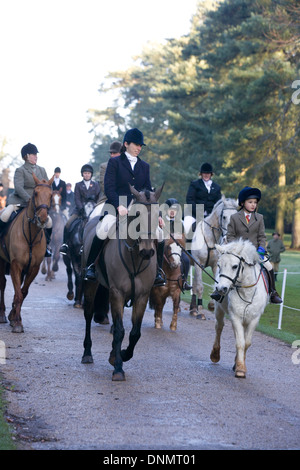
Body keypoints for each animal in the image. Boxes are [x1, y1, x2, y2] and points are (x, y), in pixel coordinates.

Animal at [0, 174, 53, 332]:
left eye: (51, 195)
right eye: (35, 193)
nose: (42, 218)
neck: (31, 235)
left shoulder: (33, 268)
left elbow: (23, 292)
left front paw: (15, 317)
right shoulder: (15, 265)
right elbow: (18, 293)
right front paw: (17, 323)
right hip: (2, 261)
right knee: (2, 284)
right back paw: (2, 314)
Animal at [81, 185, 163, 380]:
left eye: (158, 214)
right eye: (136, 214)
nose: (147, 252)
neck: (135, 257)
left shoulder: (141, 296)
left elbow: (134, 333)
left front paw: (122, 355)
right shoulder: (116, 293)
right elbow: (119, 330)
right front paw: (118, 367)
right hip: (90, 284)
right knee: (88, 314)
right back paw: (87, 353)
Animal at [209, 239, 270, 378]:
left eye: (235, 266)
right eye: (219, 265)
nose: (221, 289)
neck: (247, 292)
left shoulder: (253, 319)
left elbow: (246, 342)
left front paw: (238, 364)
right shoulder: (235, 317)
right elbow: (240, 342)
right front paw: (241, 368)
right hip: (219, 310)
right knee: (219, 327)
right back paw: (215, 354)